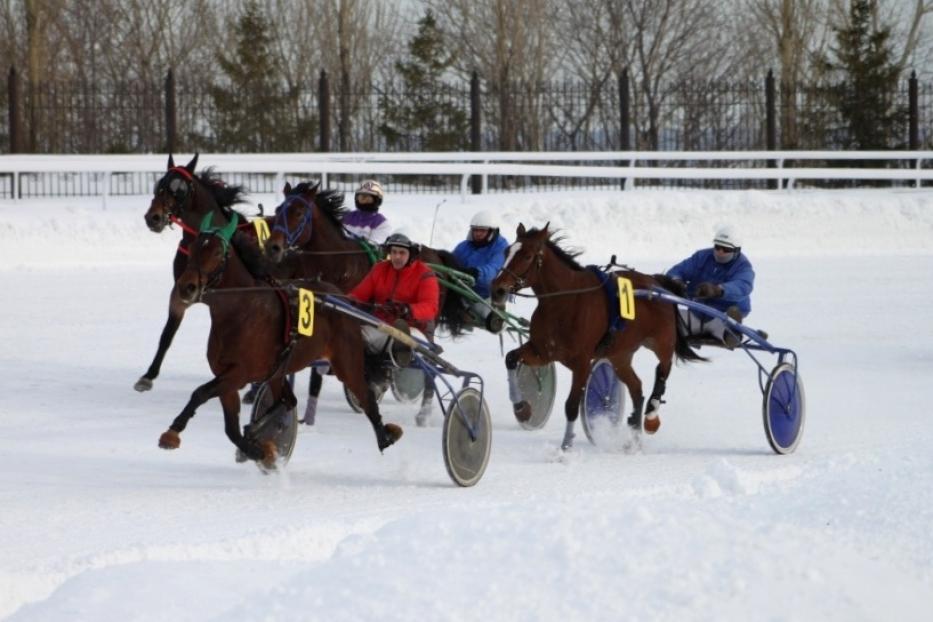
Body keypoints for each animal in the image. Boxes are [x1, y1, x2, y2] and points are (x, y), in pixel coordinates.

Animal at [135, 154, 251, 392]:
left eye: (179, 190)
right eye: (160, 186)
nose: (154, 218)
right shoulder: (181, 291)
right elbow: (167, 334)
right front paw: (148, 375)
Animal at [262, 180, 470, 424]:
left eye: (299, 211)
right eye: (278, 210)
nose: (272, 247)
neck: (338, 264)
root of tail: (435, 256)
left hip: (427, 320)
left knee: (431, 356)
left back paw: (424, 410)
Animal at [488, 223, 700, 448]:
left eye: (527, 255)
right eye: (506, 252)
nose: (497, 289)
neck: (564, 302)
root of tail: (656, 283)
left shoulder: (581, 362)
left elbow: (571, 405)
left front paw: (566, 446)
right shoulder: (542, 351)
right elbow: (511, 358)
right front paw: (522, 408)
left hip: (661, 342)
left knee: (663, 369)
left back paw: (651, 416)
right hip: (620, 356)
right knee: (637, 389)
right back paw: (633, 438)